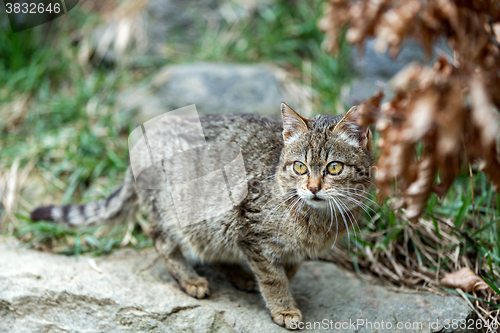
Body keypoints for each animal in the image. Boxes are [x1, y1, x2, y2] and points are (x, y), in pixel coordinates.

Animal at [31, 103, 374, 326]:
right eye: (300, 167)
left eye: (334, 168)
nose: (313, 187)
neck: (317, 221)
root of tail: (140, 143)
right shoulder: (252, 232)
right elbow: (273, 278)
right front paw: (283, 308)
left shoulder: (286, 250)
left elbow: (285, 271)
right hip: (176, 213)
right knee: (161, 240)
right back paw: (190, 279)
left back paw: (237, 275)